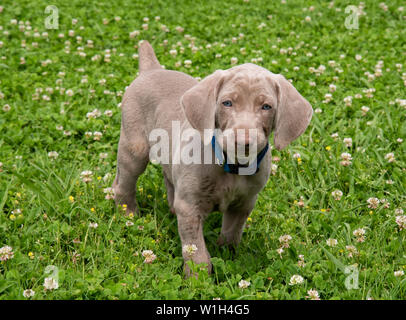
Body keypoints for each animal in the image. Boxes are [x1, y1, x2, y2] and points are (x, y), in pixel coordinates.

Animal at [112, 40, 312, 276]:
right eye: (227, 103)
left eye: (266, 107)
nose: (243, 140)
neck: (232, 166)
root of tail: (152, 70)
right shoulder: (190, 206)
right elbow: (195, 250)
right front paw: (197, 278)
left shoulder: (244, 203)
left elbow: (231, 234)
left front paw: (228, 255)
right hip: (134, 147)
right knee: (123, 184)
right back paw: (128, 214)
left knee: (169, 177)